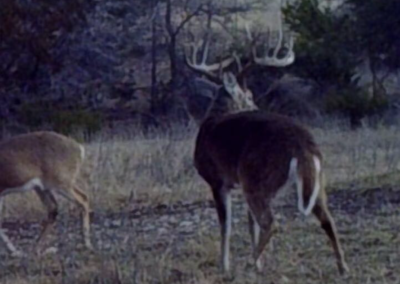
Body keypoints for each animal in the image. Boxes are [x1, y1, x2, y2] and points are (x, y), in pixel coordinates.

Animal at [186, 12, 348, 274]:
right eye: (249, 94)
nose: (255, 105)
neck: (213, 117)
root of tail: (303, 146)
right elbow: (250, 225)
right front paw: (258, 262)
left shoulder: (218, 180)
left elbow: (226, 225)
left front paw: (225, 266)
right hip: (314, 180)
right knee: (326, 218)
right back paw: (343, 268)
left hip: (255, 177)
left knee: (271, 222)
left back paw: (249, 264)